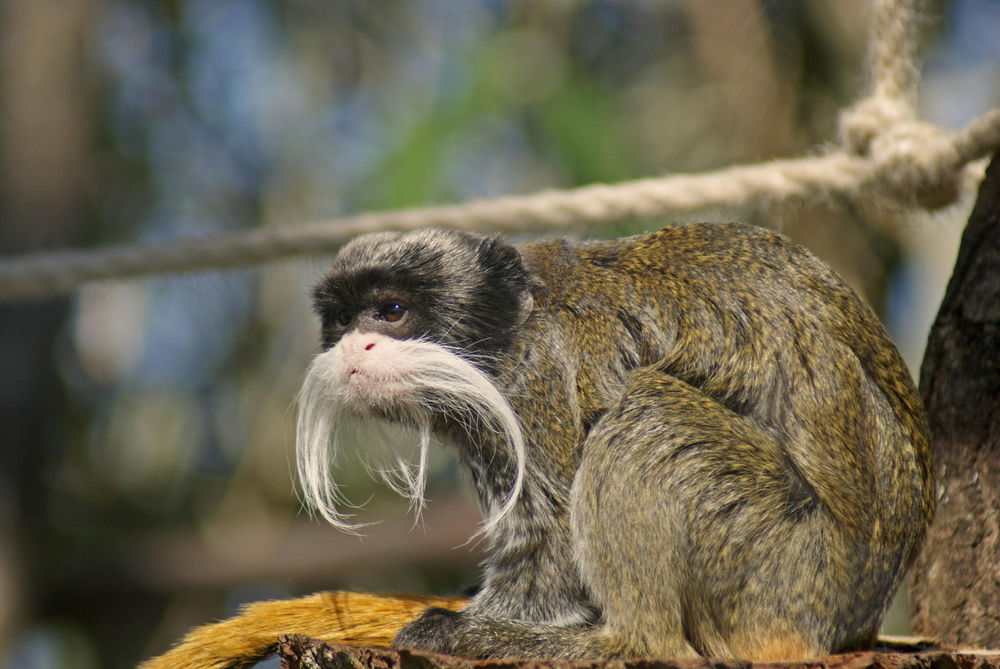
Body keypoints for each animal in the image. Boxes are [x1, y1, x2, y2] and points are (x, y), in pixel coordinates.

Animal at [140, 222, 933, 668]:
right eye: (341, 320)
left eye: (391, 311)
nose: (354, 347)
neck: (514, 326)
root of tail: (851, 619)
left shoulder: (541, 378)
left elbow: (552, 541)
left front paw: (475, 627)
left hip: (782, 572)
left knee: (647, 415)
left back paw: (625, 644)